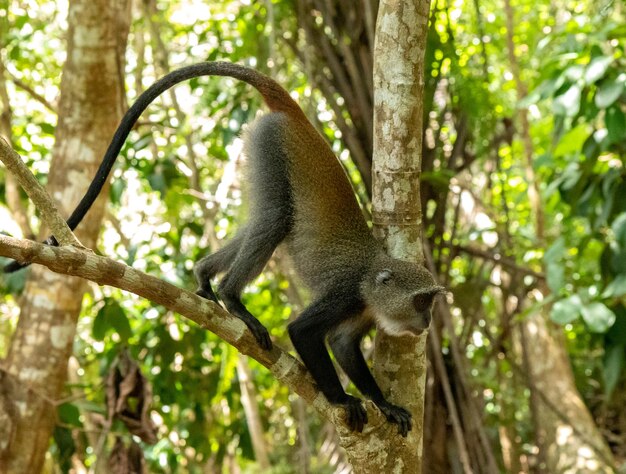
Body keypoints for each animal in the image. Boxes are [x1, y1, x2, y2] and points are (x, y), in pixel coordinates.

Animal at [4, 62, 444, 436]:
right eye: (423, 301)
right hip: (271, 144)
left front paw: (384, 404)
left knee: (262, 222)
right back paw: (233, 299)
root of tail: (298, 117)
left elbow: (342, 345)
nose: (426, 323)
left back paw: (203, 276)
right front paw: (342, 400)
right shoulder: (346, 293)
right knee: (275, 220)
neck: (372, 276)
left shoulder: (363, 310)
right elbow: (303, 332)